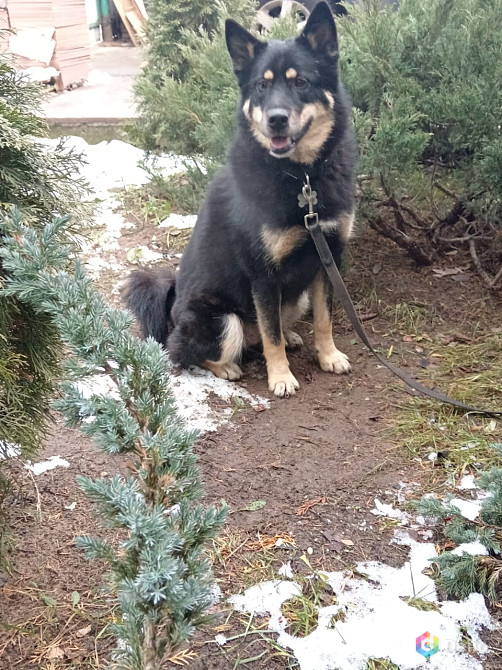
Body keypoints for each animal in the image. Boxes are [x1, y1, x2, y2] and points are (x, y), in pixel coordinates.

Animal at [125, 0, 356, 396]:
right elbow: (270, 334)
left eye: (301, 82)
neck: (302, 178)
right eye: (262, 86)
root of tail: (172, 310)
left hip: (294, 296)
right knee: (188, 351)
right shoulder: (262, 275)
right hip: (223, 318)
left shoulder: (328, 259)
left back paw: (292, 336)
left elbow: (324, 318)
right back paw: (228, 367)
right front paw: (281, 377)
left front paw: (328, 356)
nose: (276, 119)